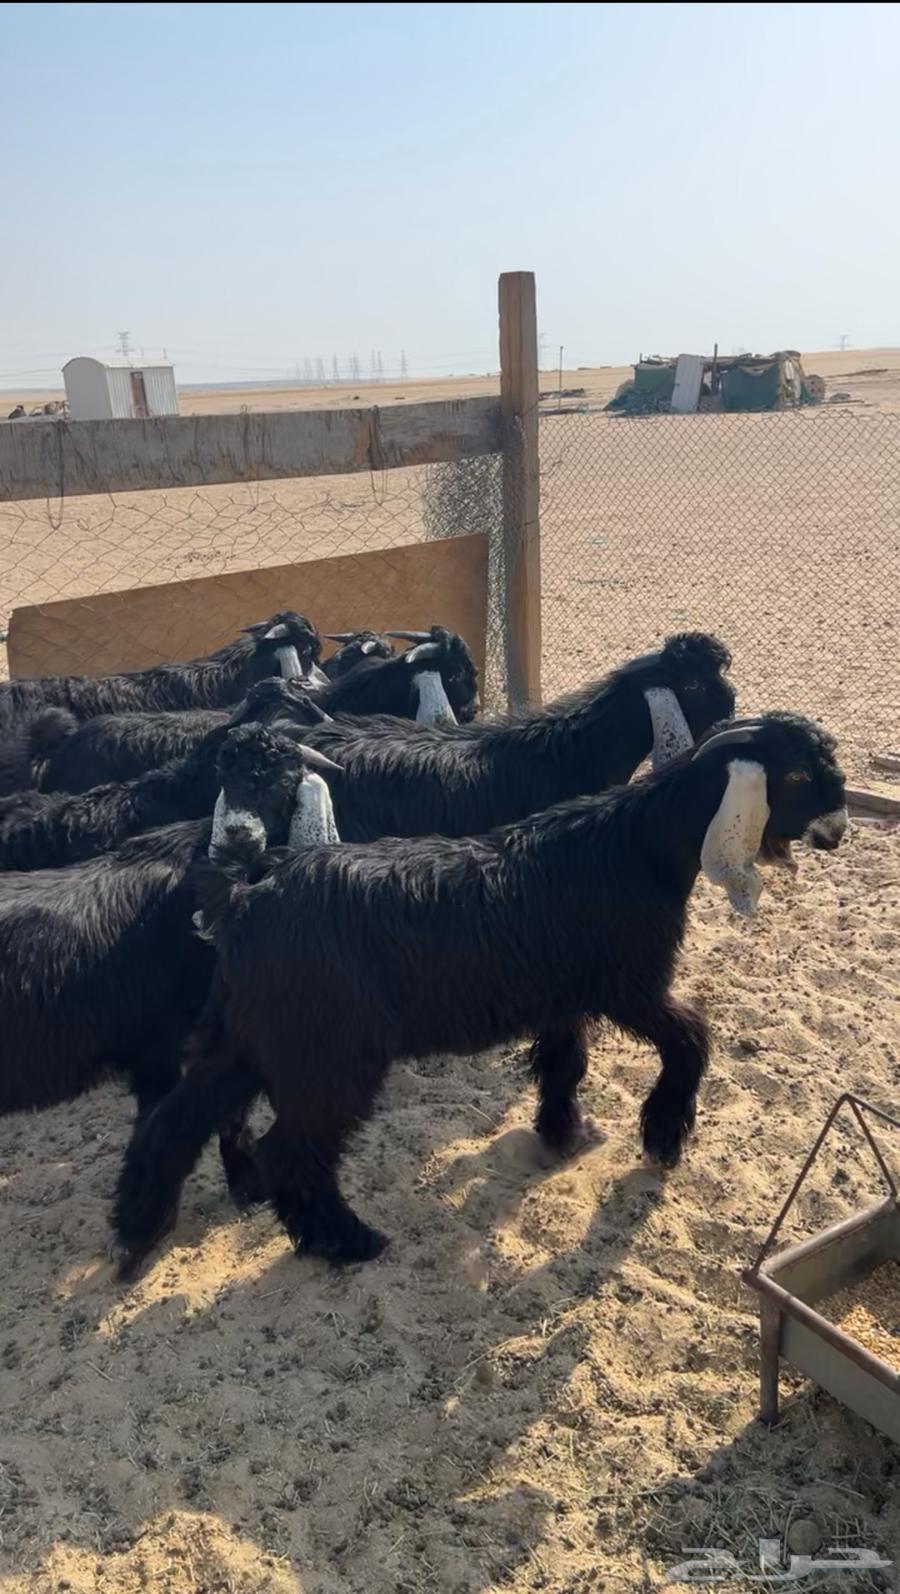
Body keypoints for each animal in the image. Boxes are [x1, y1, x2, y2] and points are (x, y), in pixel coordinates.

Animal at [112, 712, 848, 1274]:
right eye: (794, 776)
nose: (839, 829)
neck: (635, 846)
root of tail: (245, 895)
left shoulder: (561, 996)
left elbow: (564, 1063)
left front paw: (559, 1132)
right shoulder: (631, 985)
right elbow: (691, 1035)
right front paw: (664, 1134)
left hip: (248, 1036)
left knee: (173, 1122)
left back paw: (136, 1229)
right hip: (329, 1055)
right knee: (290, 1152)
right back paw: (348, 1242)